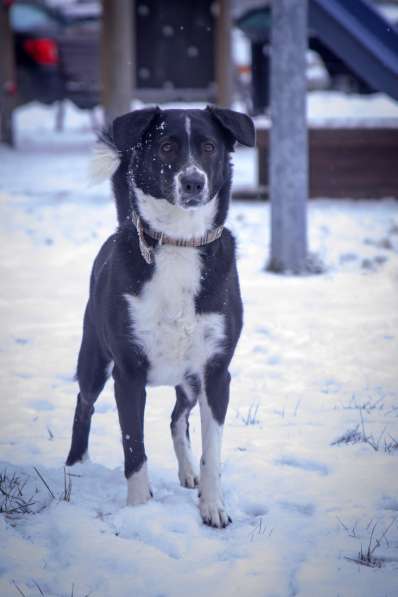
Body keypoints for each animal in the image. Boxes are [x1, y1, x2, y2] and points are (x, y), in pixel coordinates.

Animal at [65, 107, 255, 528]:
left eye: (209, 147)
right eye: (167, 146)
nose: (193, 182)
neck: (180, 243)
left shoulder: (216, 373)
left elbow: (212, 451)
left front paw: (213, 506)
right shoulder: (128, 373)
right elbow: (133, 448)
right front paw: (139, 509)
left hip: (190, 381)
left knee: (176, 417)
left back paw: (189, 473)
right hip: (94, 359)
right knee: (84, 403)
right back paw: (75, 464)